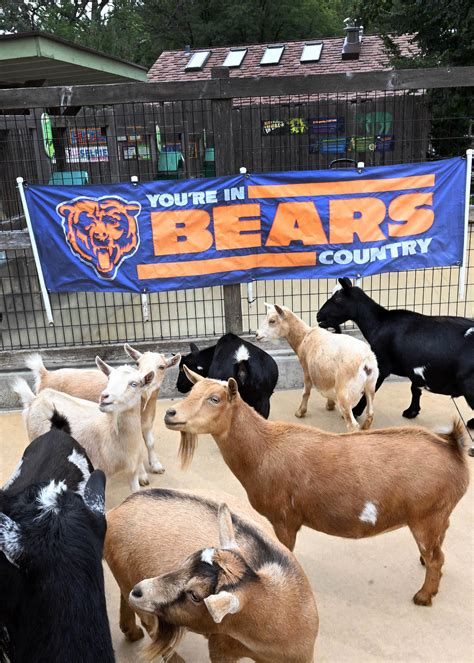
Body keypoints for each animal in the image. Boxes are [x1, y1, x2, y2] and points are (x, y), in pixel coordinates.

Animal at [13, 358, 154, 492]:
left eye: (134, 384)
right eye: (109, 379)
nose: (104, 397)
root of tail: (35, 399)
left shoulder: (133, 471)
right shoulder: (100, 468)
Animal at [22, 344, 179, 474]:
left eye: (162, 367)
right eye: (137, 363)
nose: (146, 380)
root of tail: (45, 374)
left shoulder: (146, 424)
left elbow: (150, 443)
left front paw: (157, 466)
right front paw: (142, 476)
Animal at [105, 488, 316, 663]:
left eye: (195, 595)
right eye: (189, 560)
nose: (139, 591)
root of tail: (115, 511)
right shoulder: (220, 647)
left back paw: (132, 632)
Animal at [165, 370, 468, 608]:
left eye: (214, 399)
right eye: (191, 390)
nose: (170, 413)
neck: (263, 449)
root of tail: (452, 448)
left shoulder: (284, 518)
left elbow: (286, 550)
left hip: (425, 516)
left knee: (437, 558)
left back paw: (423, 596)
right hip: (438, 515)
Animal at [314, 276, 474, 436]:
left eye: (338, 299)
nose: (318, 315)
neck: (380, 322)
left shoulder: (381, 365)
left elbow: (369, 391)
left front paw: (355, 411)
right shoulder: (414, 370)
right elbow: (415, 389)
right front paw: (411, 412)